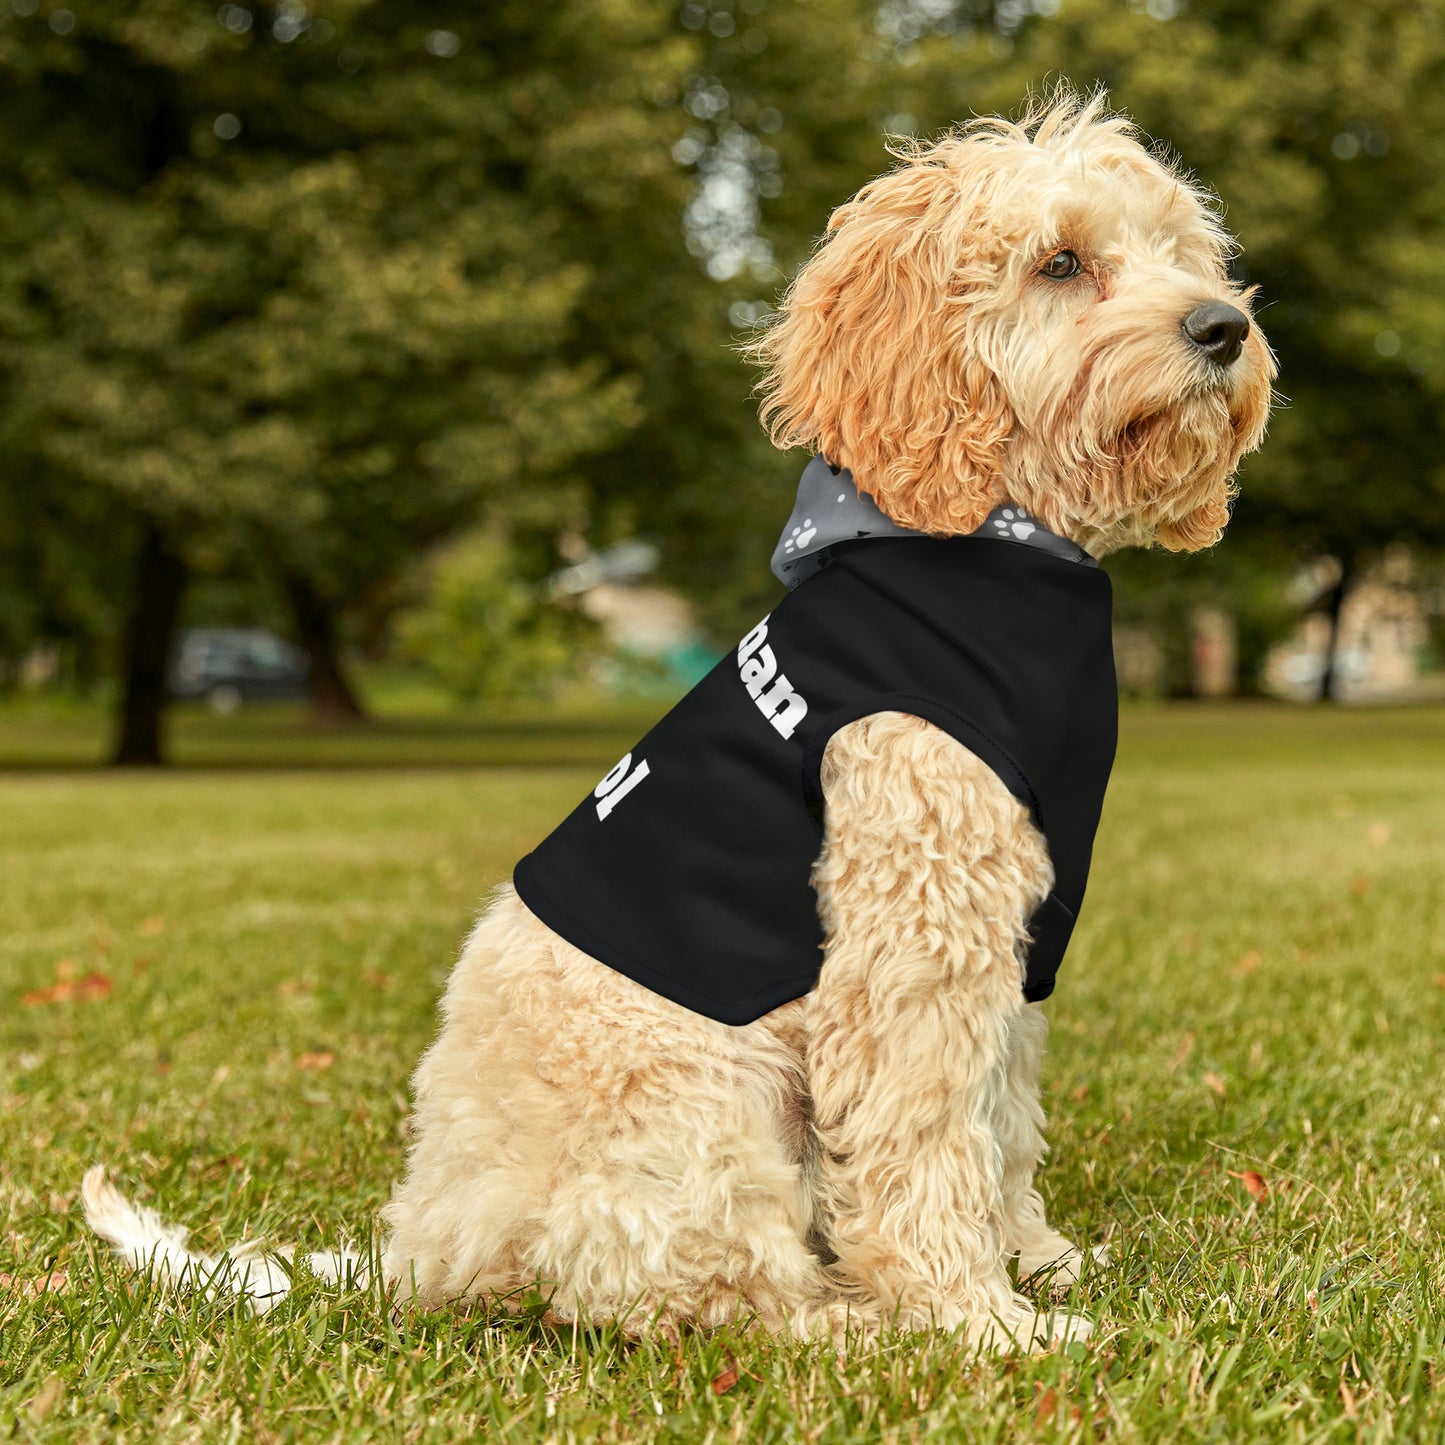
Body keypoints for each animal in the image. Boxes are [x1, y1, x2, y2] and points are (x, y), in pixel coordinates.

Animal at [84, 93, 1271, 1352]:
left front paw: (1034, 1259)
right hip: (705, 1097)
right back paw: (852, 1323)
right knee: (699, 1291)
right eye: (1059, 262)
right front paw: (975, 1318)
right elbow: (923, 1135)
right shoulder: (913, 931)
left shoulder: (1009, 936)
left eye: (1180, 252)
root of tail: (424, 1246)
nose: (1222, 327)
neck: (982, 540)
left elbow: (998, 1116)